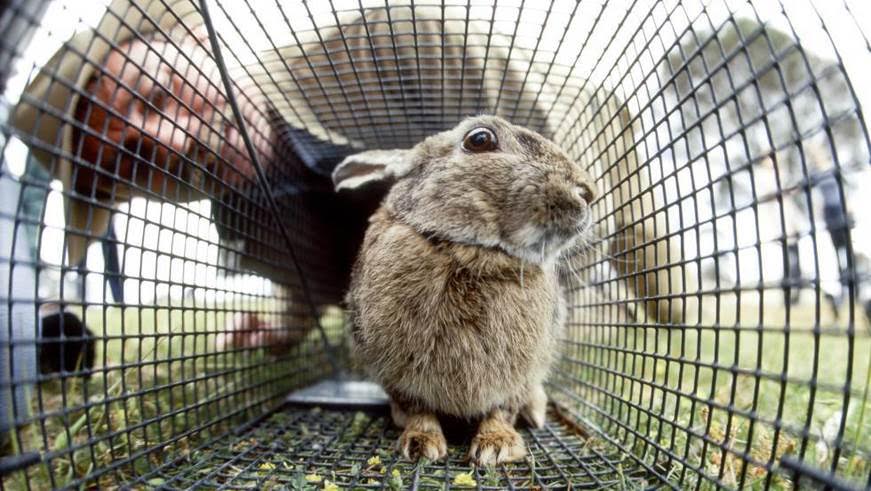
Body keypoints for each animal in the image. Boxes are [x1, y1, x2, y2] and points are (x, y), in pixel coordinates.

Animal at [332, 115, 597, 465]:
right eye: (480, 139)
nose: (587, 192)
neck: (471, 250)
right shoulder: (396, 374)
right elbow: (419, 410)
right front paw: (420, 444)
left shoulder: (518, 374)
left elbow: (500, 409)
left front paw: (497, 446)